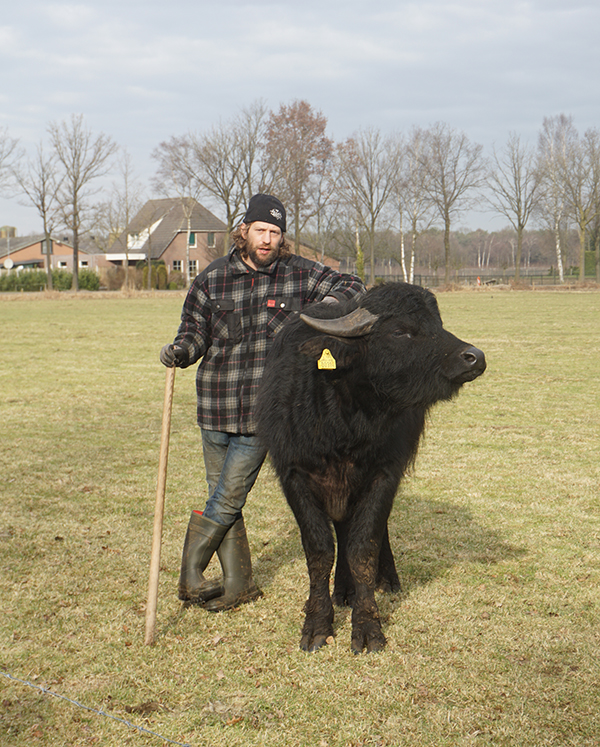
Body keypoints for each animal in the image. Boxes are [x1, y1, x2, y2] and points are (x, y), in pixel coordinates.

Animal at [255, 282, 486, 656]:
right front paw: (317, 622)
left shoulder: (383, 475)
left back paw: (385, 579)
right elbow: (320, 549)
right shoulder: (293, 475)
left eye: (437, 323)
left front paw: (366, 626)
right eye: (401, 331)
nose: (475, 356)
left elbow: (363, 547)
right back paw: (343, 590)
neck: (343, 417)